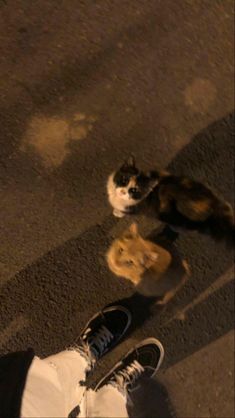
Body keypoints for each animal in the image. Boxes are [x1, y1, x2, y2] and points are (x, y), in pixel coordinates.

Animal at [107, 157, 235, 245]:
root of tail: (212, 203)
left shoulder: (134, 208)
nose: (123, 192)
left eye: (134, 190)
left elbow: (124, 211)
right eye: (124, 179)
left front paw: (117, 212)